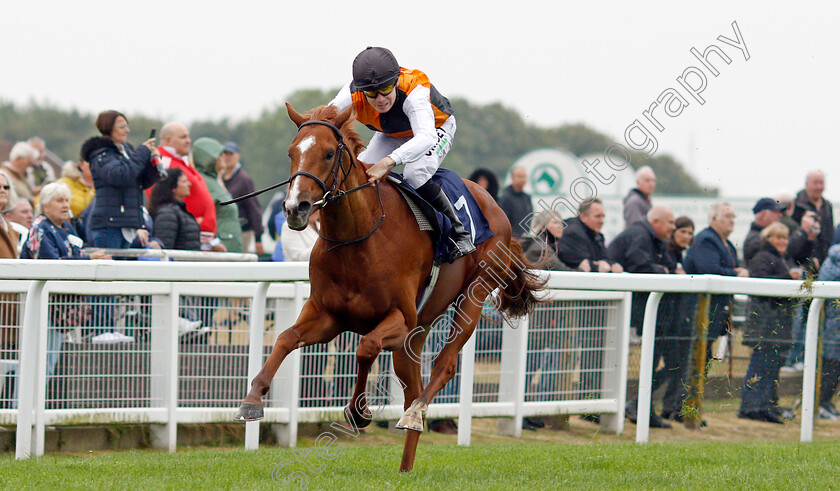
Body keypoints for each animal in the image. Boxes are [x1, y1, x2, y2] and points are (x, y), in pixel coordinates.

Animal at [235, 103, 544, 472]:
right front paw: (252, 399)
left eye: (328, 153)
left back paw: (414, 415)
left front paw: (359, 412)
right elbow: (284, 339)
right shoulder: (327, 316)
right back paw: (405, 465)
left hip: (475, 293)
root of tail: (495, 205)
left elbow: (366, 347)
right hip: (419, 329)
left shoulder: (399, 318)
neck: (359, 238)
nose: (295, 208)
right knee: (412, 386)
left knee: (443, 366)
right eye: (291, 152)